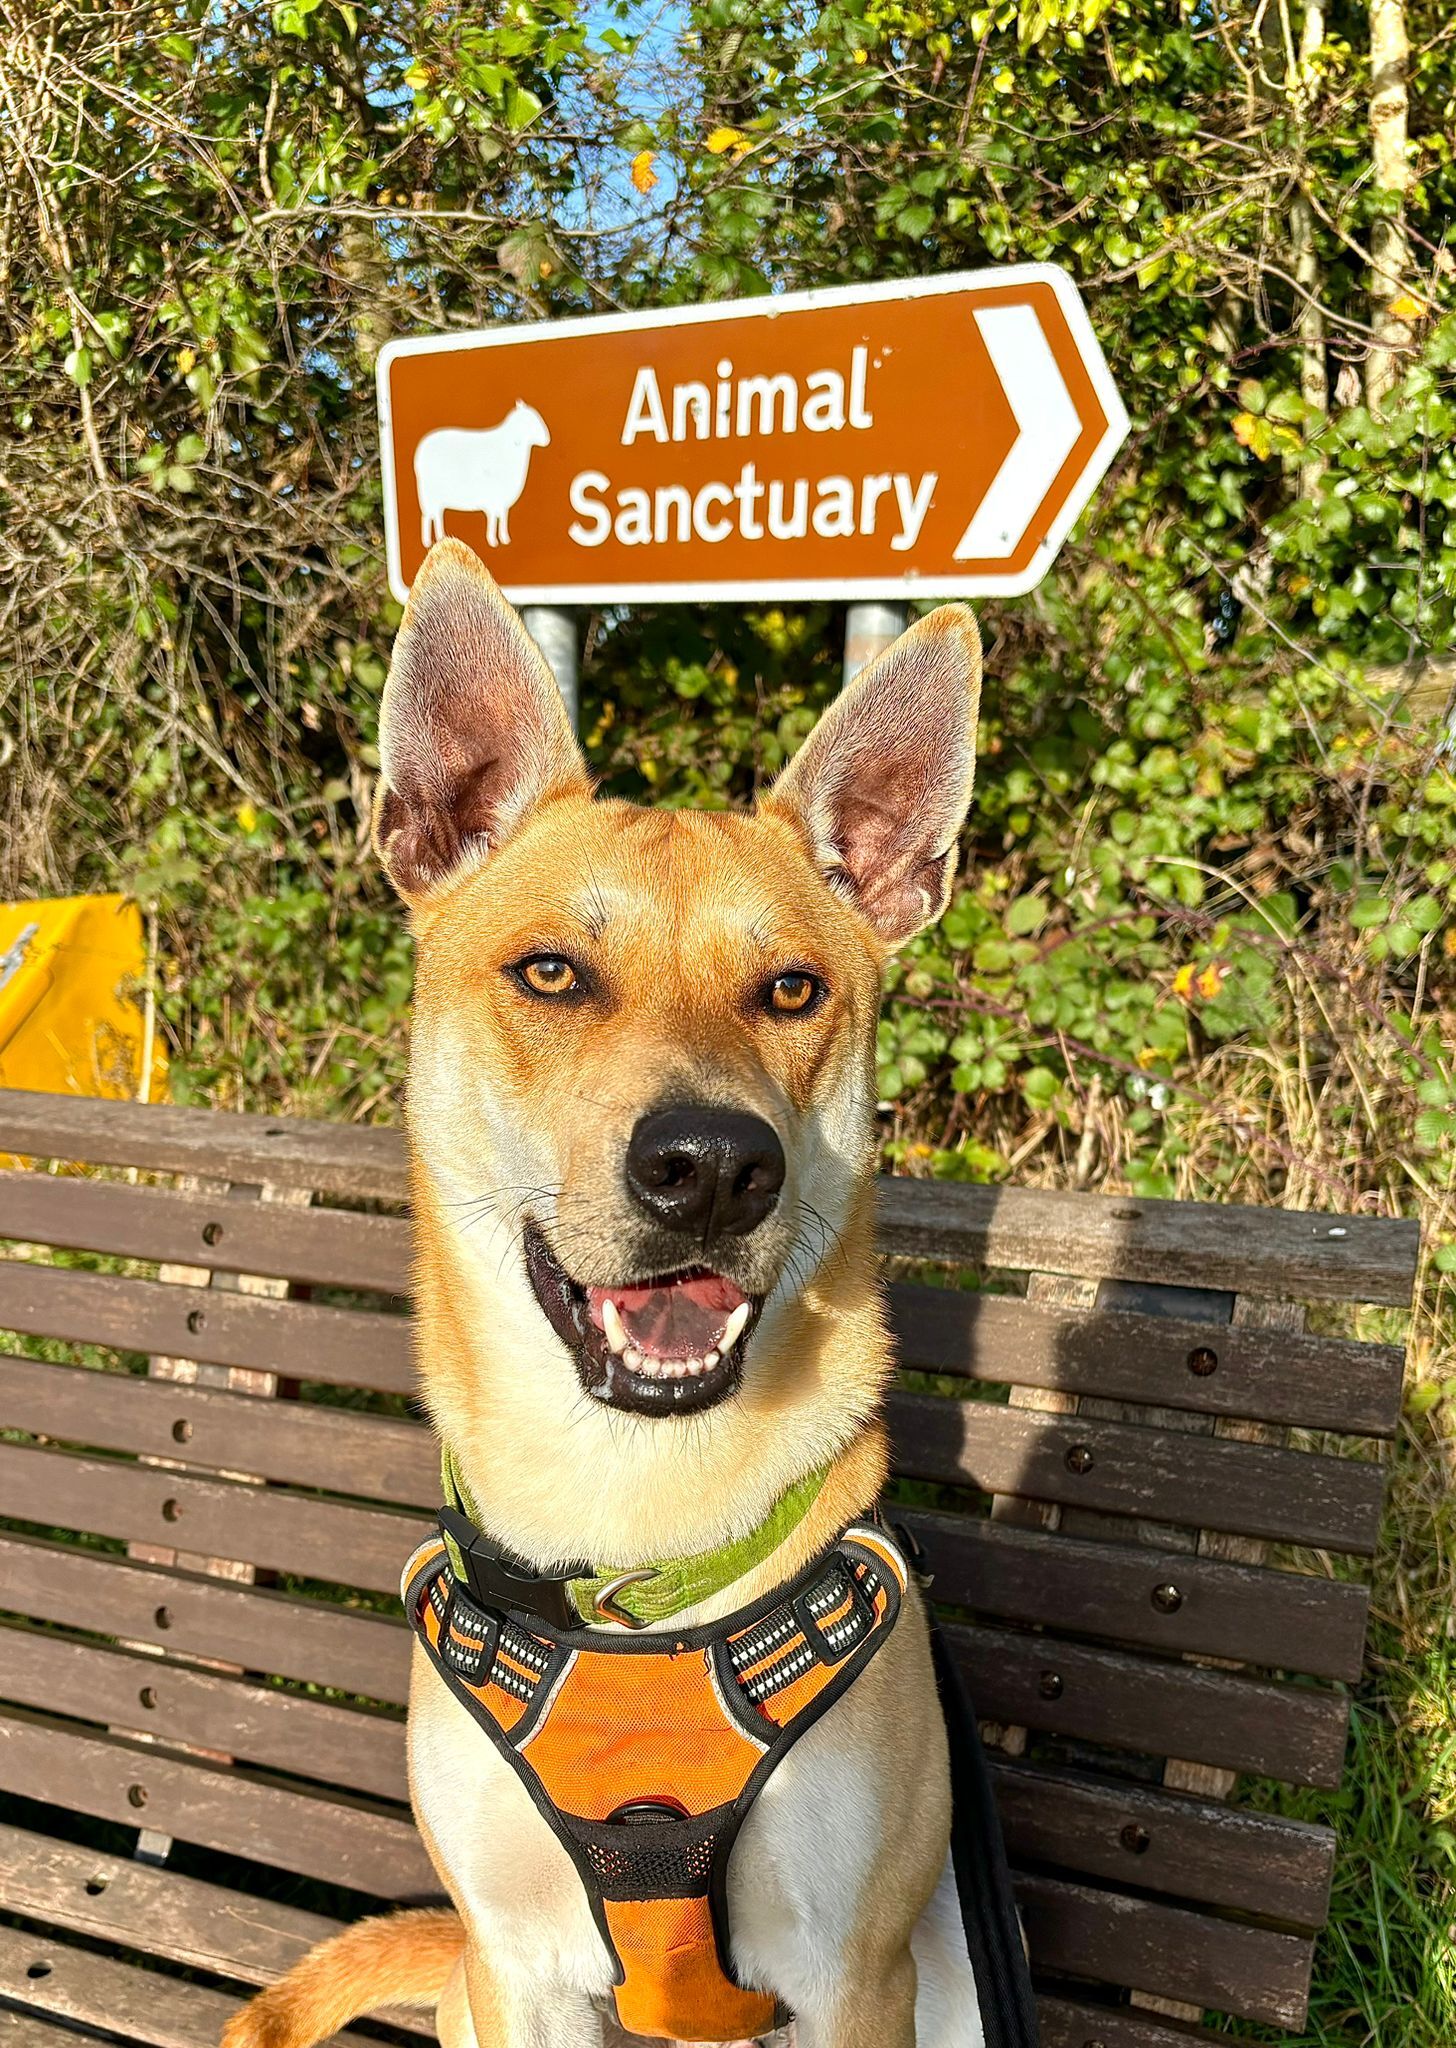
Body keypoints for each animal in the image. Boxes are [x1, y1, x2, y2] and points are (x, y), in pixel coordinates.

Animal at [222, 544, 987, 2048]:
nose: (713, 1168)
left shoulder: (857, 1975)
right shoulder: (517, 1963)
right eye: (552, 973)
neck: (631, 1545)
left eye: (792, 988)